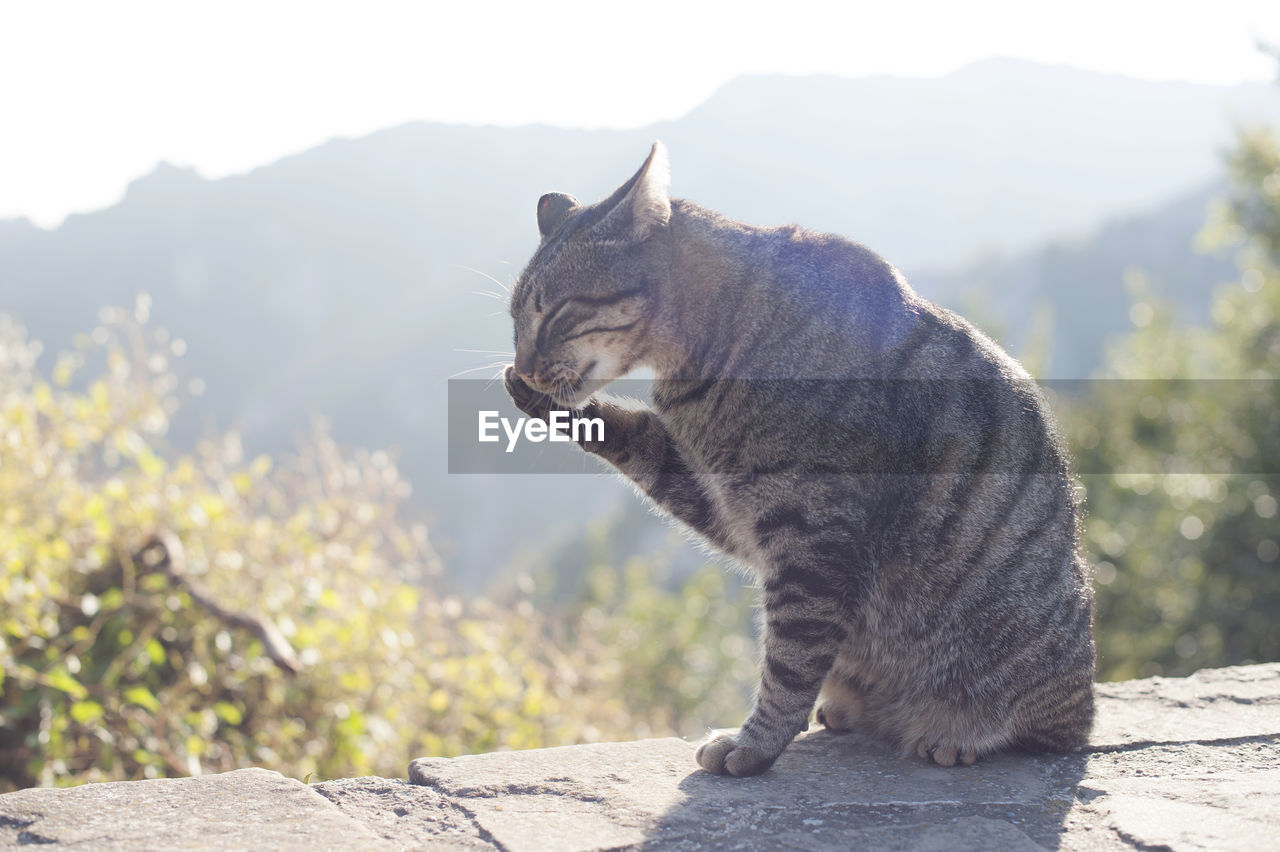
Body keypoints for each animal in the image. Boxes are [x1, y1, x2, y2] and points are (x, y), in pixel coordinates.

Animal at [499, 142, 1090, 772]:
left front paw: (754, 744)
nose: (525, 365)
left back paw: (955, 733)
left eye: (554, 313)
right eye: (514, 321)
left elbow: (788, 663)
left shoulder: (810, 539)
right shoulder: (729, 504)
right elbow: (635, 436)